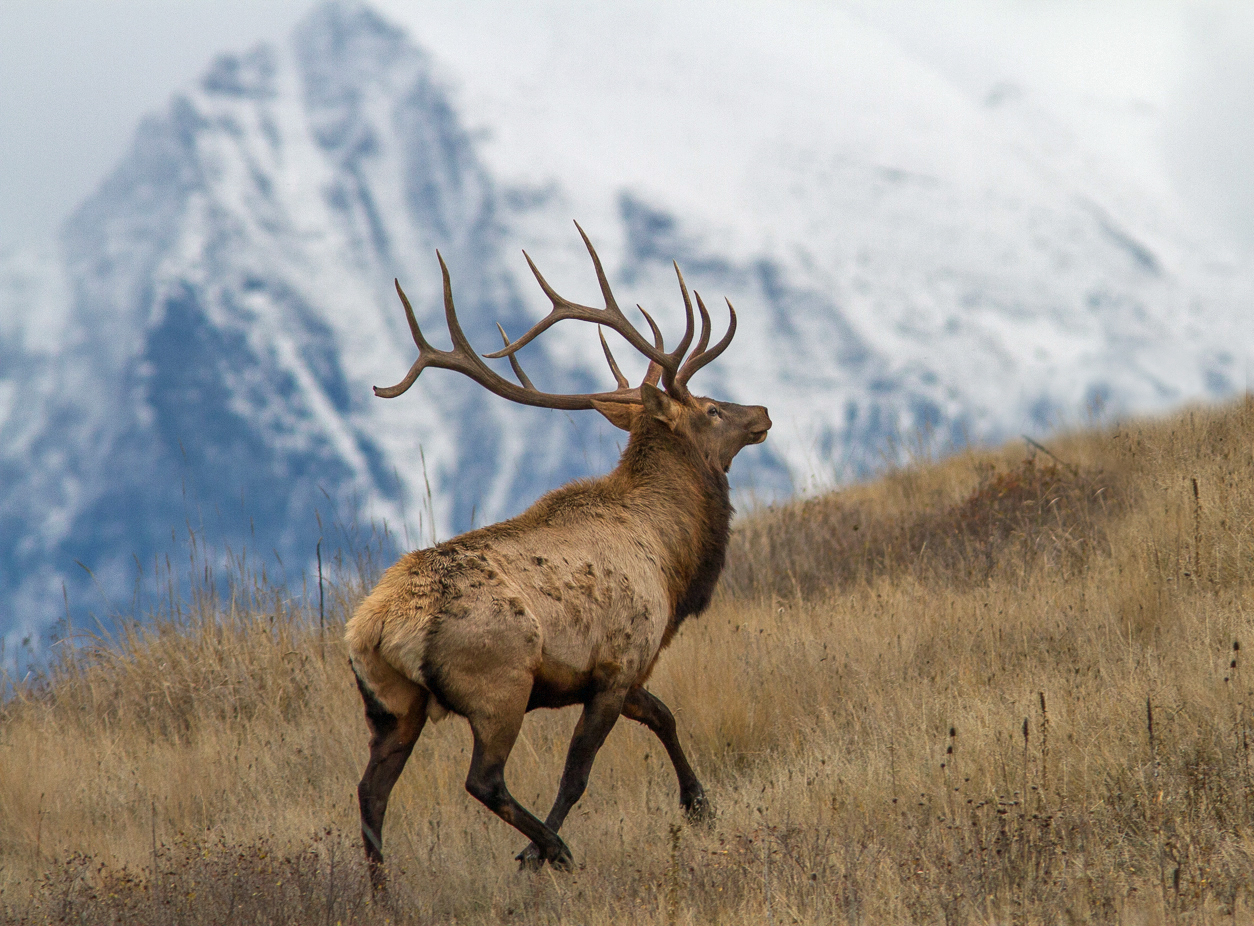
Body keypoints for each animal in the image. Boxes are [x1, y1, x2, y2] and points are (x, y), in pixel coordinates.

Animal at [345, 223, 770, 885]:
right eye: (712, 408)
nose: (764, 414)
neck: (673, 562)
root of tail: (377, 628)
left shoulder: (621, 671)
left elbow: (665, 717)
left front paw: (700, 805)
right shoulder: (619, 660)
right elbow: (578, 773)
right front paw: (538, 854)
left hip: (391, 706)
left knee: (371, 793)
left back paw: (384, 891)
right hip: (499, 686)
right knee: (483, 781)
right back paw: (552, 850)